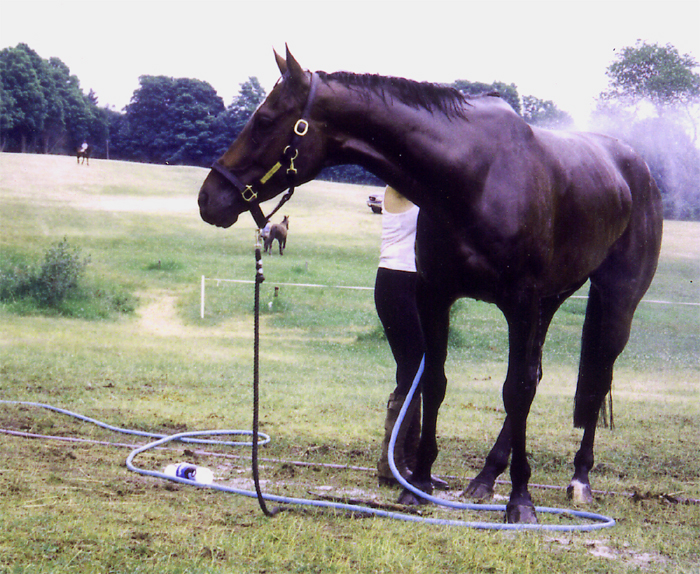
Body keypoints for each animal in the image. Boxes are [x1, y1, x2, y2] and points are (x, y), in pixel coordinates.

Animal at [198, 47, 663, 523]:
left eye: (265, 119)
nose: (208, 197)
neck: (474, 176)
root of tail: (638, 171)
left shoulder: (520, 302)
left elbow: (514, 391)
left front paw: (521, 500)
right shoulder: (436, 295)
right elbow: (436, 384)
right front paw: (418, 483)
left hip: (613, 303)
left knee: (595, 377)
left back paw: (580, 479)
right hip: (549, 303)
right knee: (537, 375)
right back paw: (485, 476)